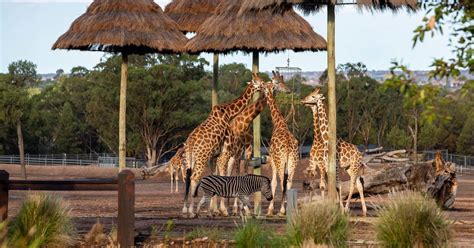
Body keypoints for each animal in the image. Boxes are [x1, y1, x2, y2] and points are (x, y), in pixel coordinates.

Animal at [182, 73, 264, 217]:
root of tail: (190, 144)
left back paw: (186, 210)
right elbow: (224, 176)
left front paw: (213, 211)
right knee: (194, 178)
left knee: (188, 178)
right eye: (259, 81)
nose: (266, 84)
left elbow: (216, 176)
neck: (228, 113)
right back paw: (192, 212)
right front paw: (224, 210)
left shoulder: (215, 155)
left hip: (190, 159)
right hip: (202, 158)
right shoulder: (225, 151)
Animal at [302, 88, 368, 216]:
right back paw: (364, 211)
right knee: (359, 185)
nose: (303, 100)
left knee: (352, 184)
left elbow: (338, 185)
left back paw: (347, 209)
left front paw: (341, 210)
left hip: (354, 166)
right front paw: (334, 207)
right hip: (350, 168)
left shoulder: (335, 165)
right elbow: (329, 185)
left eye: (313, 96)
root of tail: (359, 154)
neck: (327, 140)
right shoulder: (327, 165)